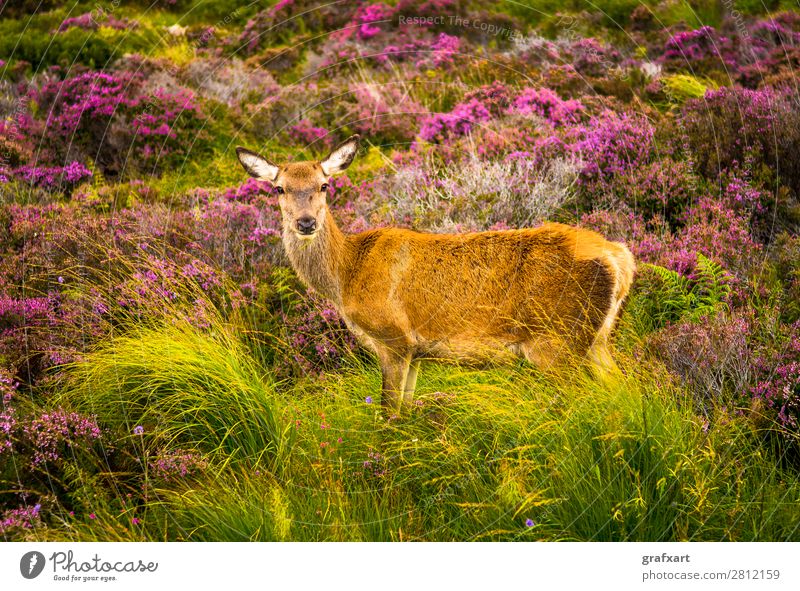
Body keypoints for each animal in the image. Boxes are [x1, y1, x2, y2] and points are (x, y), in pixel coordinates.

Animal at [234, 136, 636, 418]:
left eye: (324, 185)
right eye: (279, 188)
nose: (306, 223)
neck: (347, 274)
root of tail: (620, 258)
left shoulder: (393, 338)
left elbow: (388, 415)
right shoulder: (417, 351)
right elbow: (406, 410)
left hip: (556, 340)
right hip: (597, 339)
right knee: (626, 392)